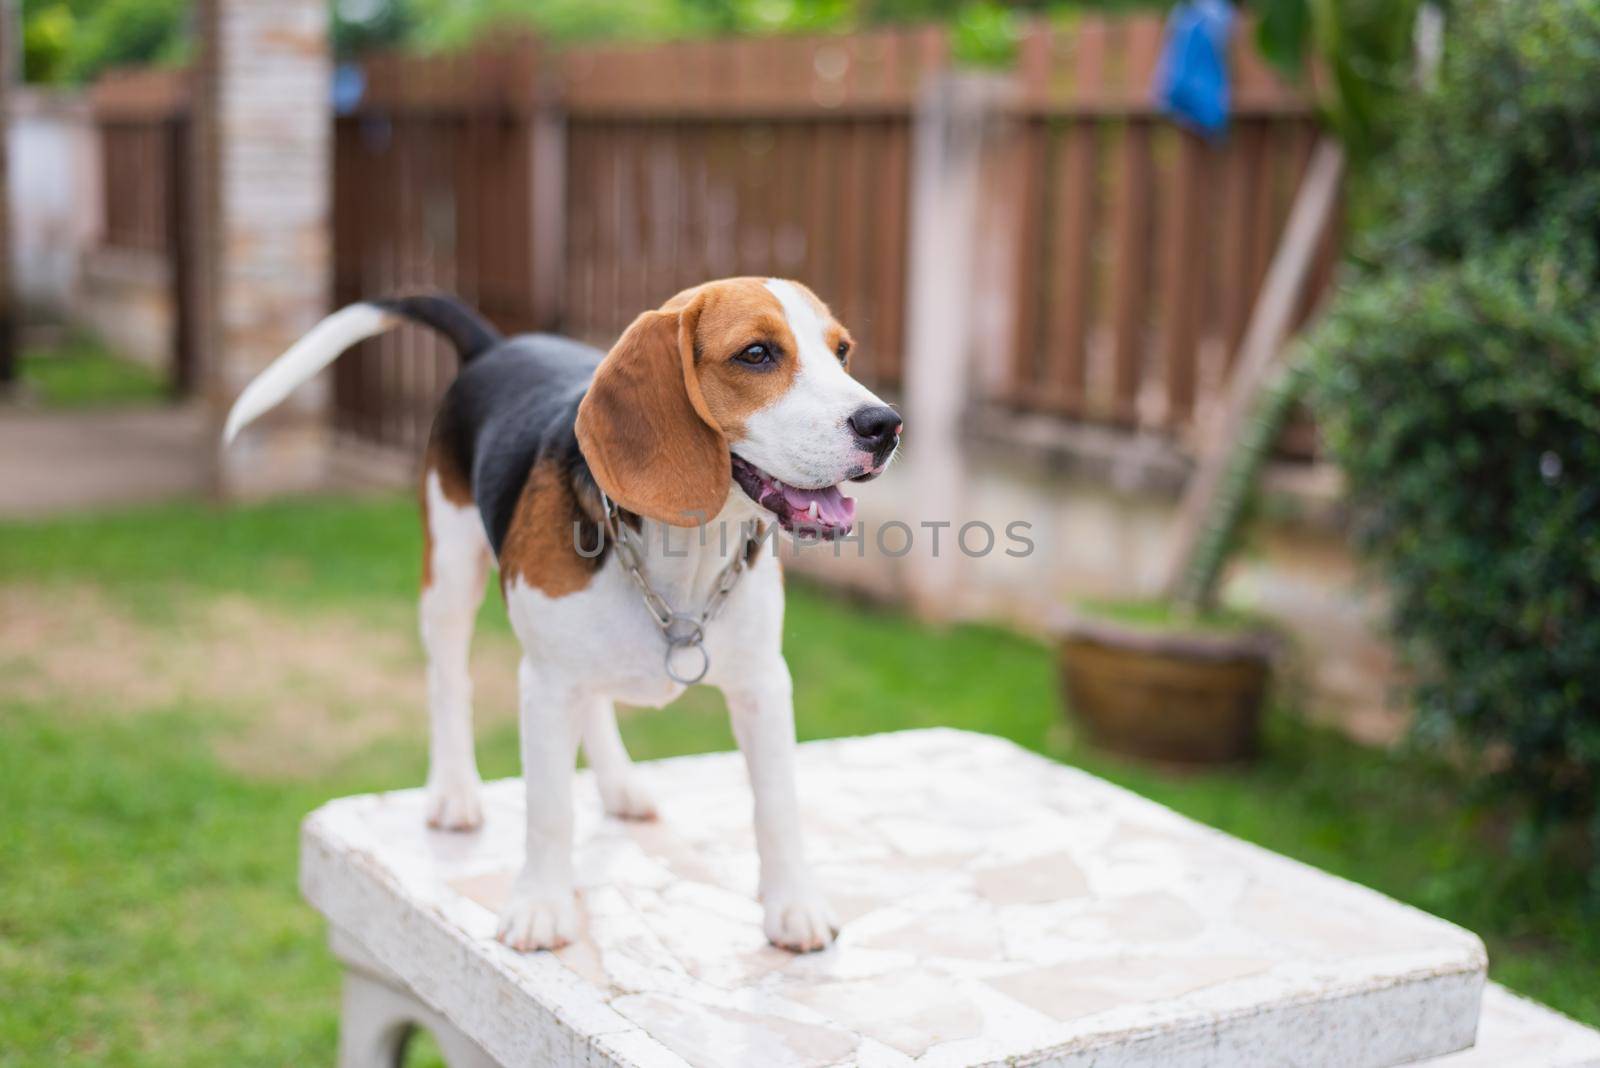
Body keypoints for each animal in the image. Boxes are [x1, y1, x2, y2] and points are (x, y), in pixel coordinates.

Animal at [222, 278, 902, 952]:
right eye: (756, 354)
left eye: (842, 352)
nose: (886, 425)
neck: (685, 555)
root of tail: (496, 346)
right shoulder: (545, 686)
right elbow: (549, 810)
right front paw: (541, 906)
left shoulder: (763, 683)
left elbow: (777, 804)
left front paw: (794, 905)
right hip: (449, 575)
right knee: (450, 681)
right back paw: (454, 792)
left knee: (594, 702)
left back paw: (620, 786)